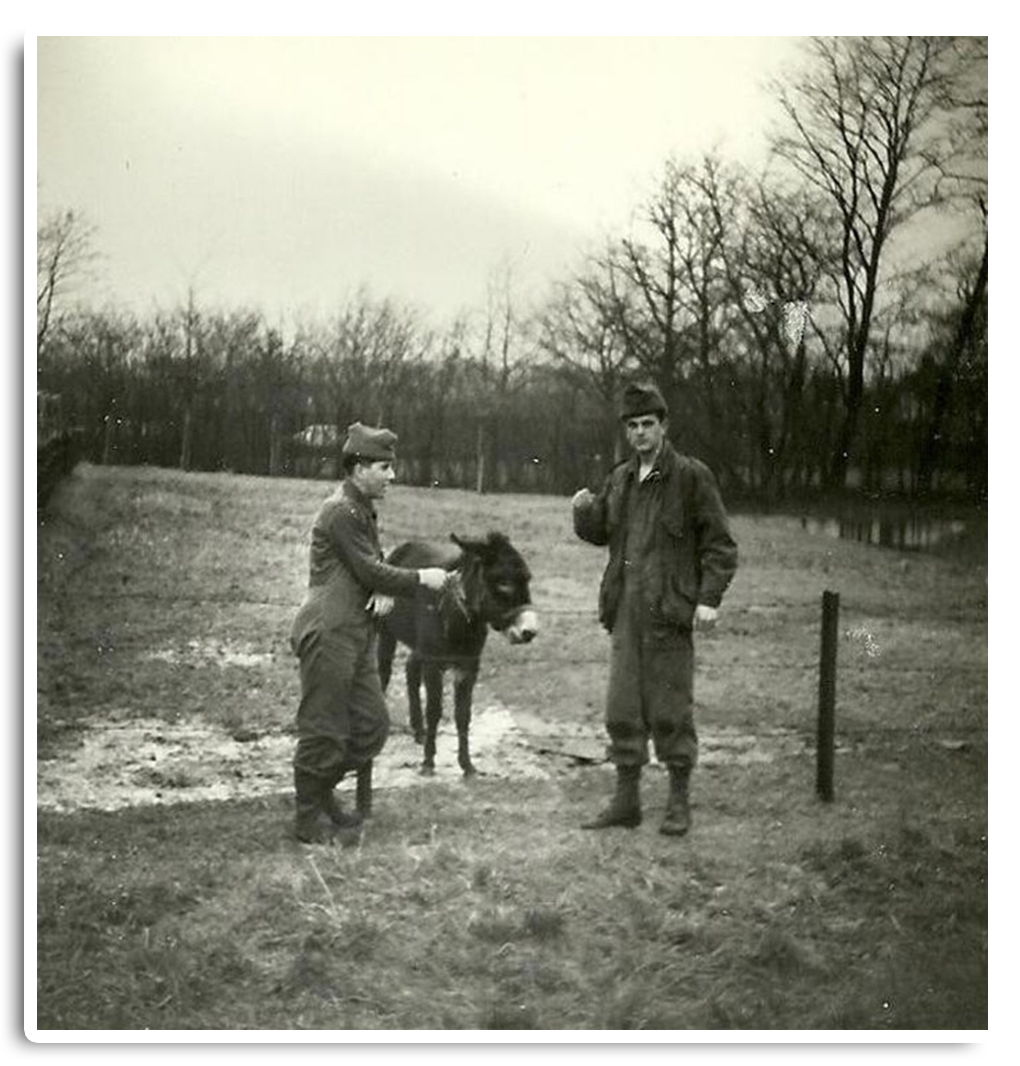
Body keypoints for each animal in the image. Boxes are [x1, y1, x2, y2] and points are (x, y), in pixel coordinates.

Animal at [377, 532, 538, 776]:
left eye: (527, 579)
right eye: (504, 584)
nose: (529, 631)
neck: (458, 617)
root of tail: (403, 547)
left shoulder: (469, 666)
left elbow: (463, 715)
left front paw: (467, 765)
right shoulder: (434, 664)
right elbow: (434, 710)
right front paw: (428, 762)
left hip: (419, 646)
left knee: (411, 669)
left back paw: (419, 730)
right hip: (387, 634)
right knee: (385, 674)